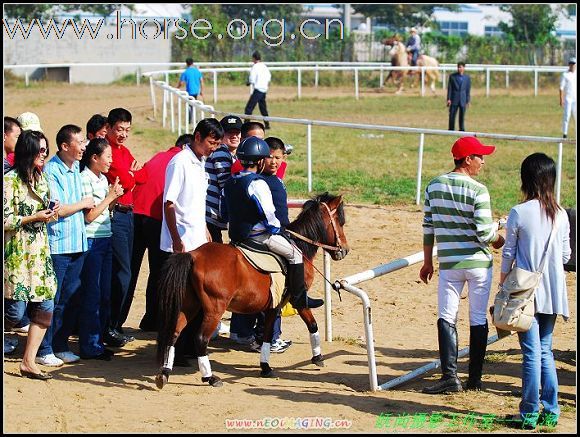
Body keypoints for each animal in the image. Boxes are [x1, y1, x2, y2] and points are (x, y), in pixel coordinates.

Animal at [154, 192, 352, 386]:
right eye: (340, 222)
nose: (345, 250)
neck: (299, 246)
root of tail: (193, 255)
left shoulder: (273, 305)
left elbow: (267, 335)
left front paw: (265, 367)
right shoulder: (297, 299)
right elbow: (312, 324)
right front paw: (318, 357)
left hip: (189, 305)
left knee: (174, 332)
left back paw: (164, 373)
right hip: (214, 309)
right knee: (201, 338)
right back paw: (210, 378)